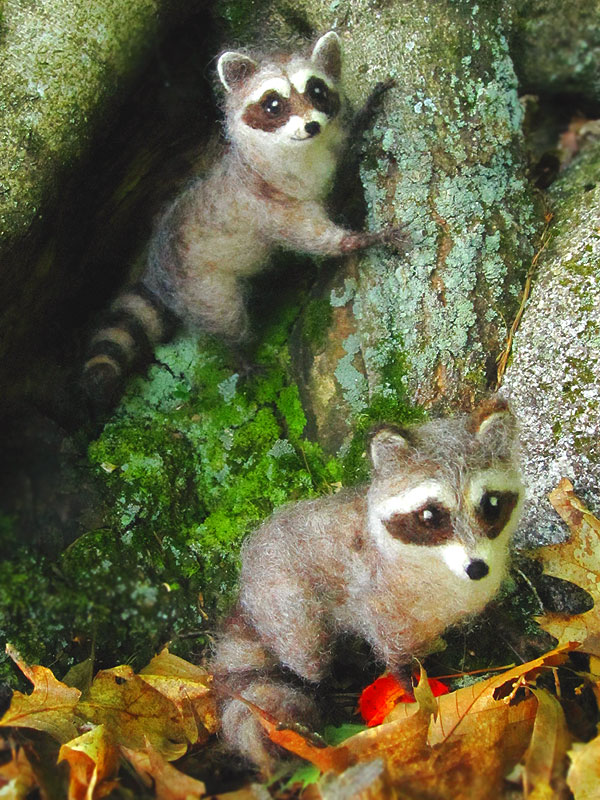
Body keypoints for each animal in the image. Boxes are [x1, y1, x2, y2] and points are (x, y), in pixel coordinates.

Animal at [79, 32, 398, 406]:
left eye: (317, 91)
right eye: (273, 105)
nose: (312, 125)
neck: (301, 153)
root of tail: (158, 269)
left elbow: (340, 162)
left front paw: (362, 117)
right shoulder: (266, 202)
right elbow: (312, 237)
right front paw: (361, 240)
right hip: (199, 283)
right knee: (225, 315)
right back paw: (238, 353)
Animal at [212, 398, 524, 768]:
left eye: (491, 505)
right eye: (431, 516)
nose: (476, 568)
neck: (443, 571)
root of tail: (245, 585)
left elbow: (491, 611)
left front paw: (513, 632)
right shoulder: (382, 600)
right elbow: (396, 659)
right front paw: (414, 694)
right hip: (282, 597)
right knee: (306, 653)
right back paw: (324, 689)